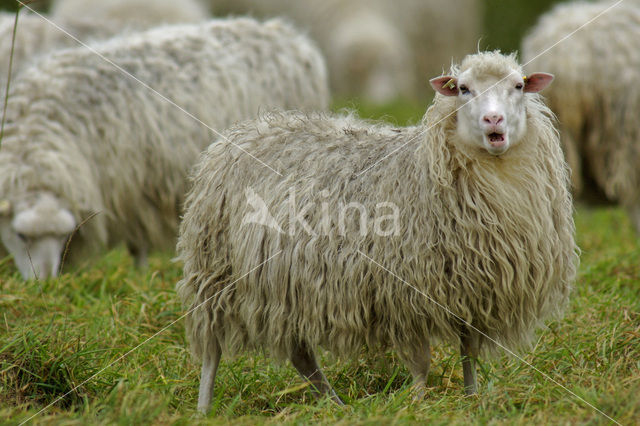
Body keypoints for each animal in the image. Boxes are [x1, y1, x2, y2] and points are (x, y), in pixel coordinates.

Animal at [0, 18, 330, 282]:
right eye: (20, 235)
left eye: (59, 235)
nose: (44, 284)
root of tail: (285, 34)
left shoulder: (133, 191)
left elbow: (138, 246)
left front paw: (139, 279)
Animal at [176, 50, 580, 412]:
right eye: (464, 89)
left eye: (518, 86)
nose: (493, 119)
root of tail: (241, 132)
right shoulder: (407, 294)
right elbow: (421, 362)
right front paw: (417, 405)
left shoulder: (471, 288)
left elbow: (468, 352)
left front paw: (472, 398)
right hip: (216, 269)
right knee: (212, 350)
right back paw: (203, 409)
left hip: (285, 286)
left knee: (301, 356)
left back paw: (338, 407)